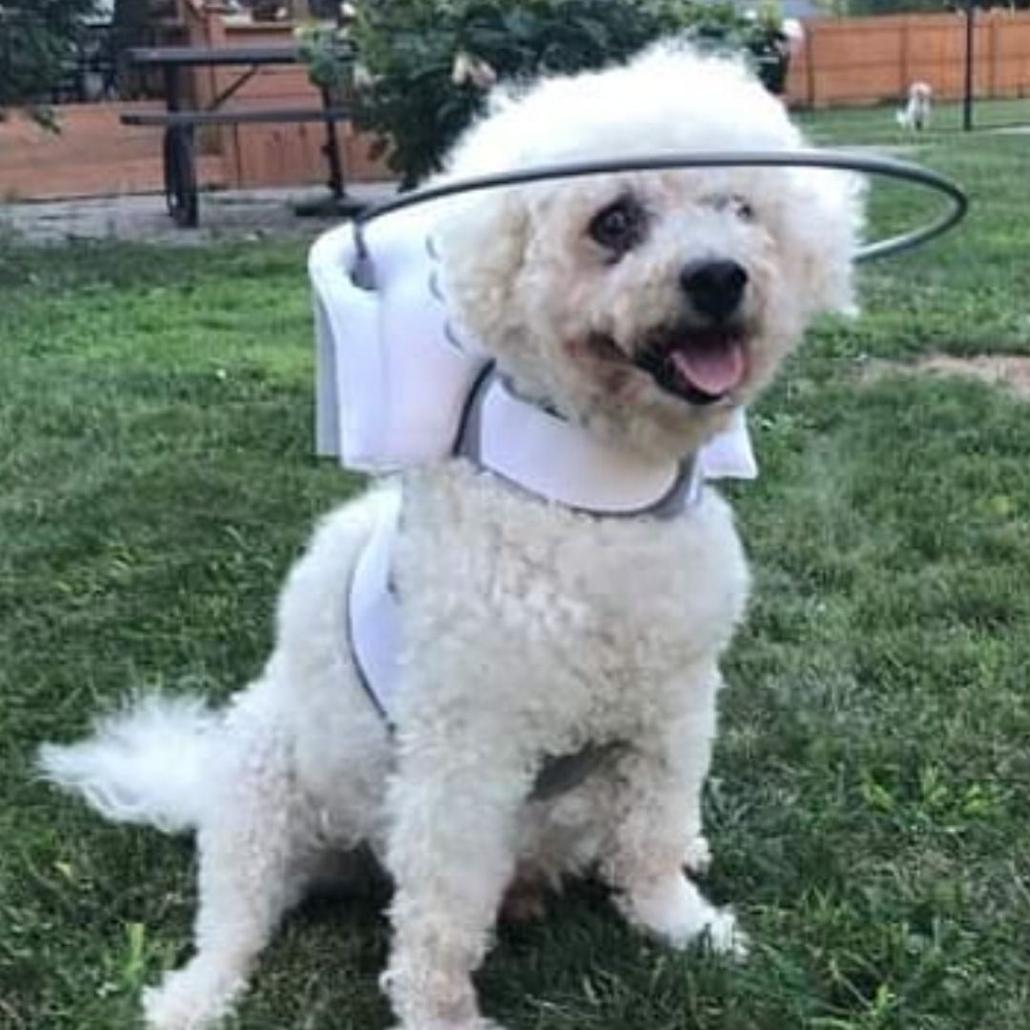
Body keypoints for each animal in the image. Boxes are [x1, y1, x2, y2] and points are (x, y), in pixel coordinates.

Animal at [38, 44, 861, 1030]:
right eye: (615, 221)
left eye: (741, 209)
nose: (719, 277)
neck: (594, 501)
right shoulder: (466, 753)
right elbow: (440, 905)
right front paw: (442, 1012)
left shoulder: (672, 712)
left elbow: (653, 841)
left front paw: (684, 927)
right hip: (262, 794)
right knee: (234, 919)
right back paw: (194, 995)